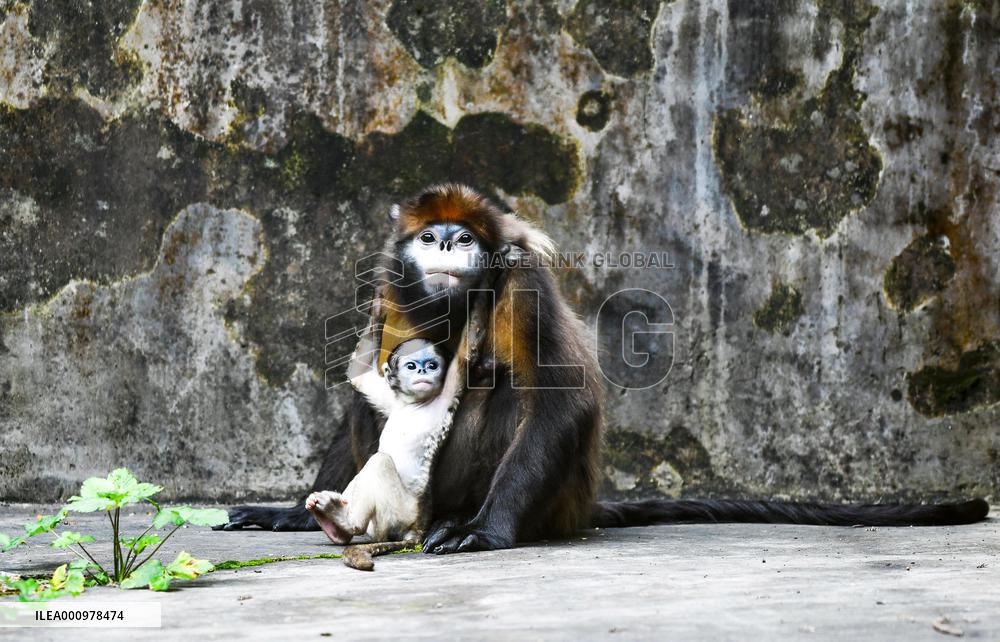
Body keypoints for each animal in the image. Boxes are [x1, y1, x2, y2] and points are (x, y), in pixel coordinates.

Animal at [220, 183, 989, 548]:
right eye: (428, 237)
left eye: (463, 239)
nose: (442, 242)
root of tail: (581, 505)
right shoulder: (391, 284)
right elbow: (366, 387)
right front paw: (289, 512)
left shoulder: (521, 280)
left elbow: (562, 401)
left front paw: (485, 533)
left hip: (552, 500)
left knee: (505, 390)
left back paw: (463, 518)